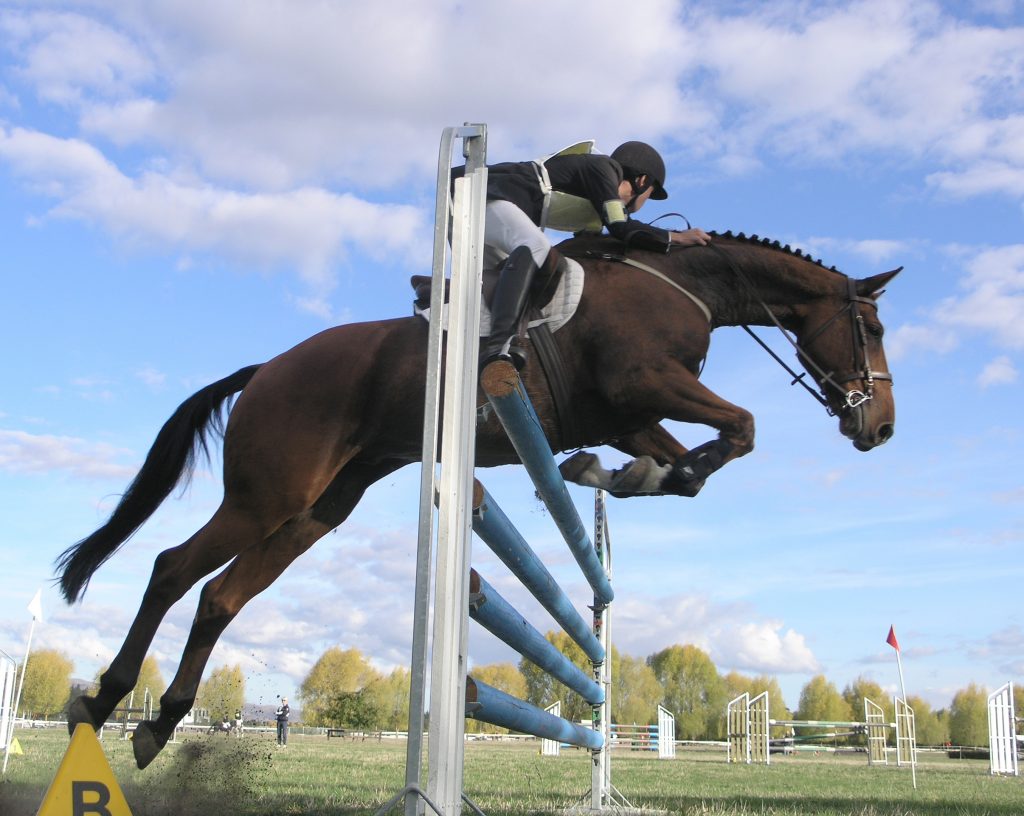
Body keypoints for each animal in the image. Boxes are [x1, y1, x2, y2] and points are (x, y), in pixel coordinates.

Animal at [56, 230, 901, 769]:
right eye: (871, 326)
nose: (882, 427)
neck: (686, 286)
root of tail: (267, 368)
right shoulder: (643, 385)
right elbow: (743, 427)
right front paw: (620, 474)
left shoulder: (632, 413)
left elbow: (693, 464)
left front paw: (612, 475)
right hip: (270, 494)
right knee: (172, 569)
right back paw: (104, 703)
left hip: (316, 511)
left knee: (220, 596)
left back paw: (159, 724)